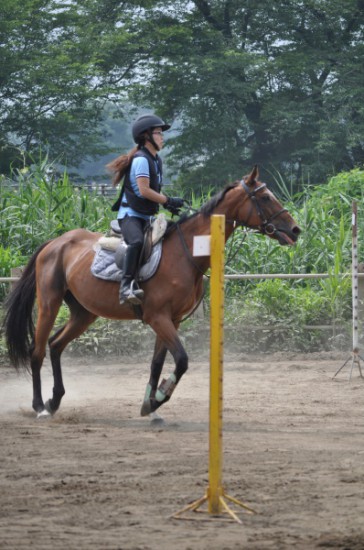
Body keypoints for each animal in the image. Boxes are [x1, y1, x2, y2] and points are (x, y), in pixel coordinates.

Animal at [4, 166, 302, 420]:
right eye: (265, 197)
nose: (296, 229)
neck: (185, 253)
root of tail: (55, 243)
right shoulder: (158, 317)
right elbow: (181, 360)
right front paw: (159, 397)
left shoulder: (172, 320)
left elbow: (157, 363)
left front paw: (150, 405)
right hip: (49, 304)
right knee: (37, 351)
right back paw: (40, 406)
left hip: (84, 313)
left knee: (55, 345)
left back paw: (55, 400)